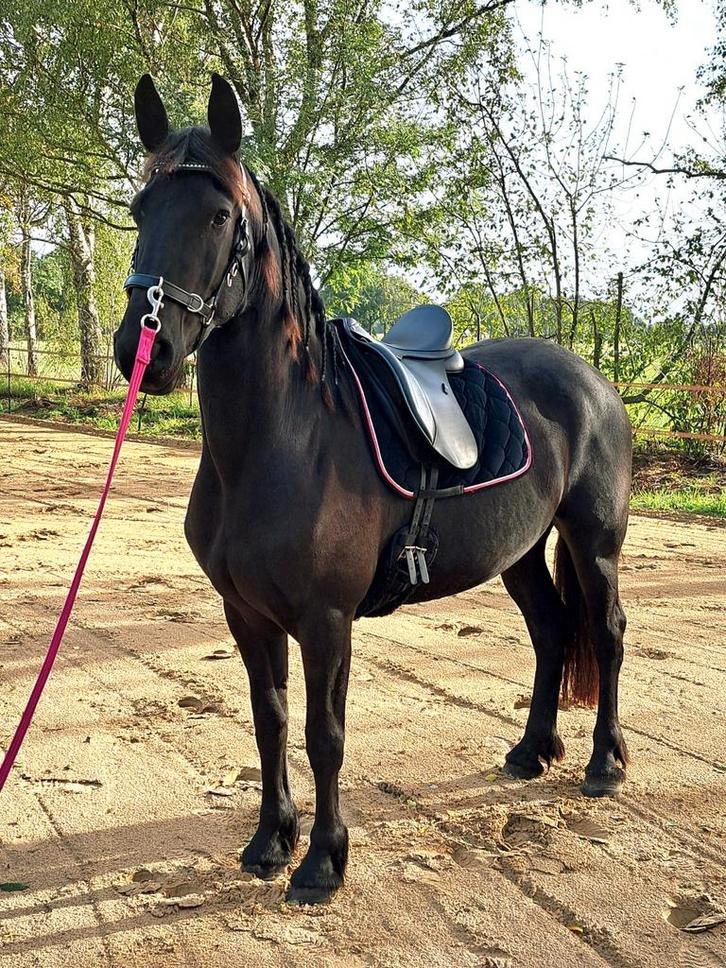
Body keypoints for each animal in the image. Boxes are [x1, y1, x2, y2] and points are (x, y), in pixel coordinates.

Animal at [114, 73, 632, 905]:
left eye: (219, 216)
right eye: (139, 209)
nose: (145, 350)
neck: (283, 442)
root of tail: (590, 379)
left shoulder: (327, 620)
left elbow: (324, 735)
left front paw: (323, 862)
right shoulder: (245, 614)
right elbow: (269, 721)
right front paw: (270, 841)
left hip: (594, 541)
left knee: (608, 634)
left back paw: (604, 764)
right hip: (520, 553)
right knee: (553, 631)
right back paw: (530, 752)